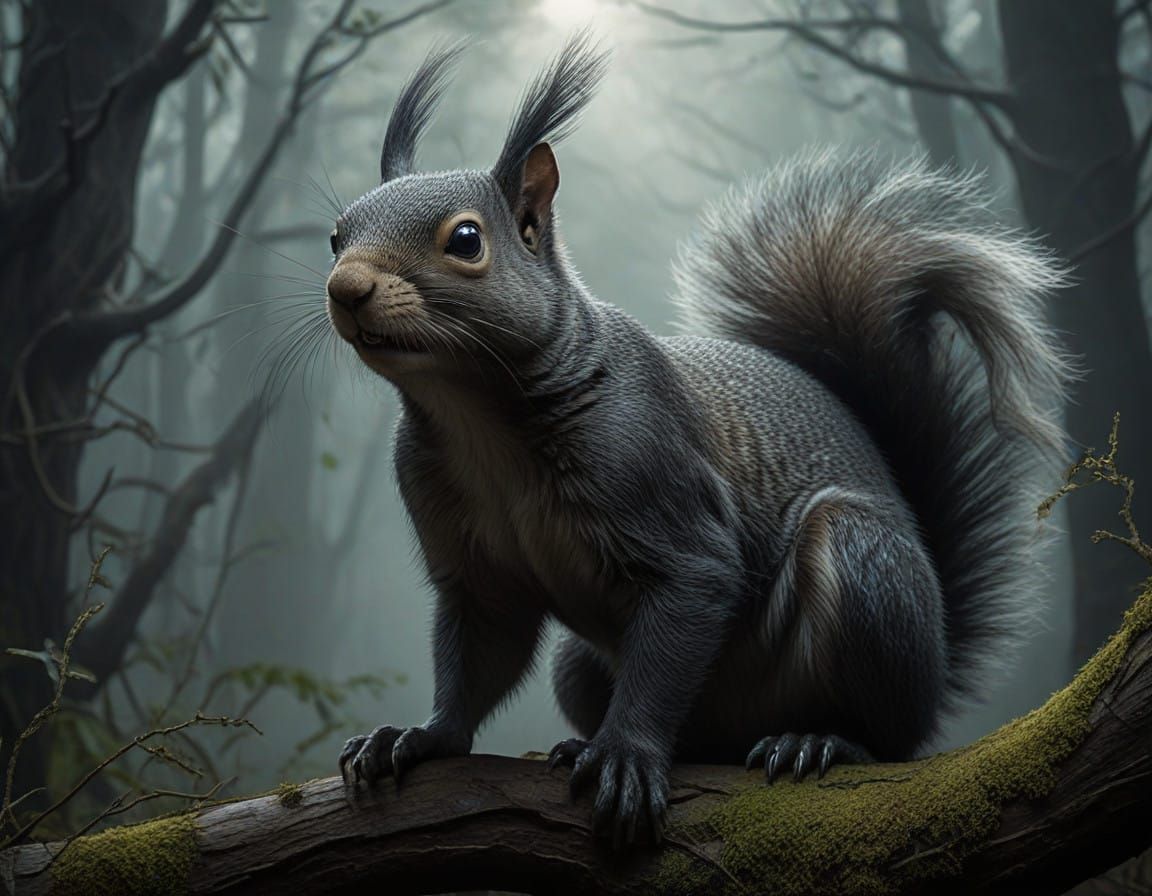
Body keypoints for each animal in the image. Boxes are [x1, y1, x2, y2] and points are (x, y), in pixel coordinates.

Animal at [331, 35, 1071, 847]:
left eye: (466, 240)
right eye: (336, 234)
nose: (345, 287)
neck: (474, 415)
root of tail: (933, 666)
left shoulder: (663, 494)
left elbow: (682, 613)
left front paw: (626, 756)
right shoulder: (472, 565)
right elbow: (476, 659)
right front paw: (421, 737)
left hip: (864, 574)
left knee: (888, 735)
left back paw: (817, 741)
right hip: (581, 667)